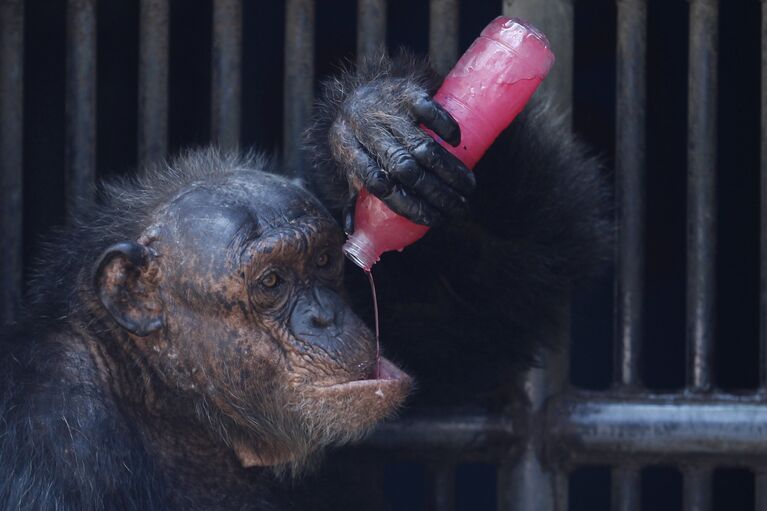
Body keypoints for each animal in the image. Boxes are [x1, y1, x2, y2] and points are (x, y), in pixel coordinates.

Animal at [1, 54, 612, 510]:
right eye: (271, 281)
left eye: (321, 262)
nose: (325, 315)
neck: (172, 401)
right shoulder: (52, 441)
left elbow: (502, 284)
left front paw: (370, 116)